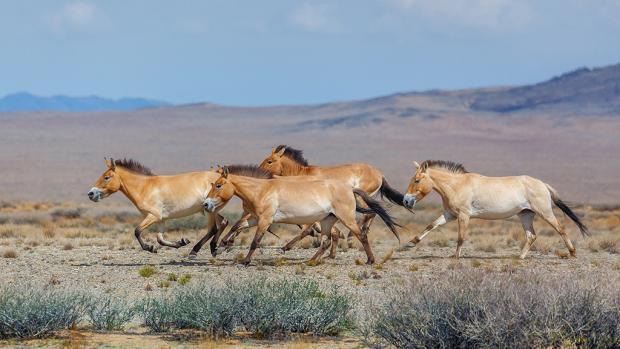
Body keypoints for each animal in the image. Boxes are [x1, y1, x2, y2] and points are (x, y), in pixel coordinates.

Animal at [88, 158, 229, 256]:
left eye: (106, 177)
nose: (91, 194)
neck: (144, 187)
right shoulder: (161, 219)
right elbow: (160, 239)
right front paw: (181, 242)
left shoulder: (153, 216)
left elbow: (137, 231)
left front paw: (150, 248)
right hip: (212, 210)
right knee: (223, 222)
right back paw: (216, 248)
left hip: (210, 211)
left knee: (213, 228)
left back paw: (195, 251)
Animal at [201, 164, 400, 266]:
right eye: (212, 184)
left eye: (218, 185)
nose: (206, 204)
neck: (261, 190)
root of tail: (350, 188)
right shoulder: (255, 219)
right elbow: (237, 226)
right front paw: (222, 245)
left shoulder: (265, 221)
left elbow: (255, 241)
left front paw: (245, 261)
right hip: (327, 221)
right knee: (326, 241)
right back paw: (310, 261)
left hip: (347, 219)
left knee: (361, 235)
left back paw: (370, 260)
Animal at [402, 160, 592, 258]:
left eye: (417, 180)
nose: (405, 200)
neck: (457, 185)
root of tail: (542, 184)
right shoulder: (450, 215)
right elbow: (432, 225)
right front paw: (410, 243)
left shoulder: (464, 216)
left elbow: (460, 237)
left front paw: (455, 257)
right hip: (525, 215)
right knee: (531, 236)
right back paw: (519, 257)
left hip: (544, 212)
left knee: (560, 229)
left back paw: (573, 253)